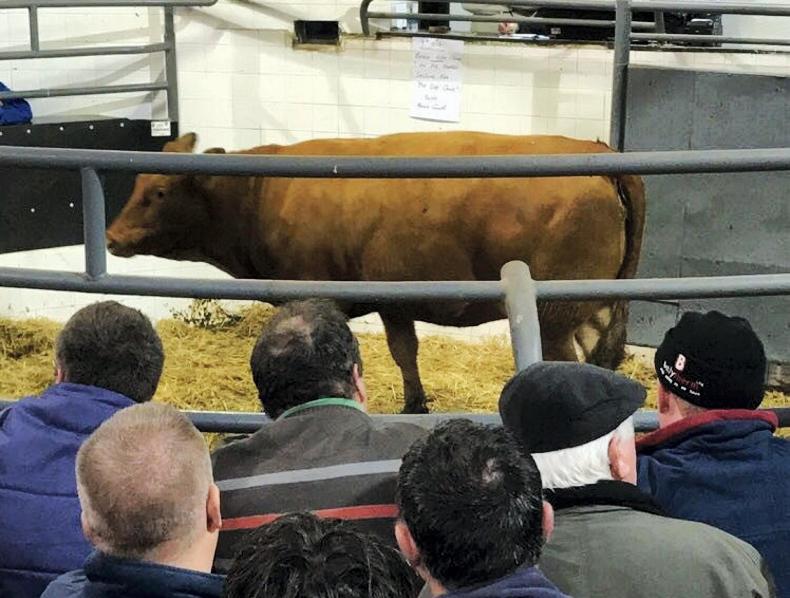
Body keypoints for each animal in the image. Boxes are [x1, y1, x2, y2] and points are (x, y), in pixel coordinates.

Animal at [106, 131, 645, 414]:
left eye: (158, 191)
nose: (111, 236)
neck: (261, 194)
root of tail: (597, 151)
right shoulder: (395, 300)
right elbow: (405, 352)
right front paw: (414, 406)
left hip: (556, 317)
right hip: (593, 311)